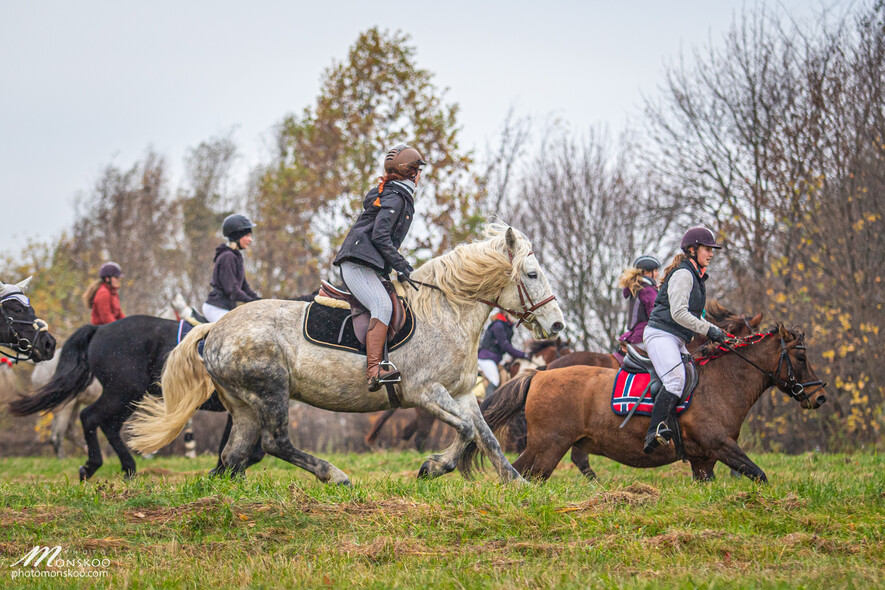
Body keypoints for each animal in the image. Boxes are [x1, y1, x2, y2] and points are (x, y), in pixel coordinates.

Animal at [9, 314, 258, 480]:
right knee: (90, 418)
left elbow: (235, 445)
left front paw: (222, 473)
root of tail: (100, 329)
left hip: (125, 398)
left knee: (107, 426)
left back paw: (126, 467)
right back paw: (92, 466)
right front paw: (227, 473)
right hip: (122, 392)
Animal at [127, 227, 564, 486]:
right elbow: (468, 431)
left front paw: (518, 484)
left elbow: (486, 436)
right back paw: (335, 475)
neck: (447, 311)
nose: (558, 325)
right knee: (274, 443)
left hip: (245, 406)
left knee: (234, 456)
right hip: (271, 391)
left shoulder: (460, 394)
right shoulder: (425, 393)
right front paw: (433, 467)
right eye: (531, 275)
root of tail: (215, 329)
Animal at [462, 324, 828, 486]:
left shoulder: (704, 461)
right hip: (547, 448)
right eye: (800, 357)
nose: (819, 396)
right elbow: (760, 475)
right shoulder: (721, 446)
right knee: (519, 473)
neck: (722, 383)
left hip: (551, 448)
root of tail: (538, 376)